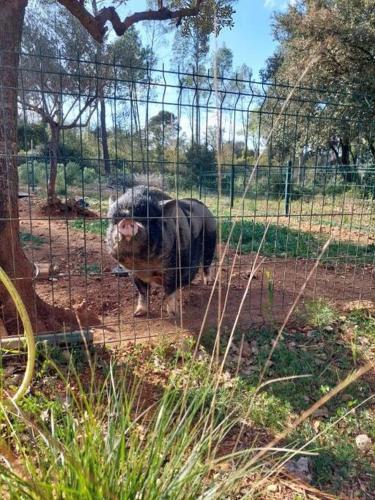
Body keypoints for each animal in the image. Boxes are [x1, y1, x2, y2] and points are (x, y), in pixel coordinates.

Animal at [106, 186, 217, 318]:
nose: (127, 221)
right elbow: (142, 293)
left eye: (148, 220)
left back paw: (208, 283)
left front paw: (173, 315)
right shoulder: (134, 273)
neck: (145, 265)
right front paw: (137, 314)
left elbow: (169, 292)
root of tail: (205, 207)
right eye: (114, 221)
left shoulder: (175, 268)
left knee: (207, 263)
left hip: (210, 240)